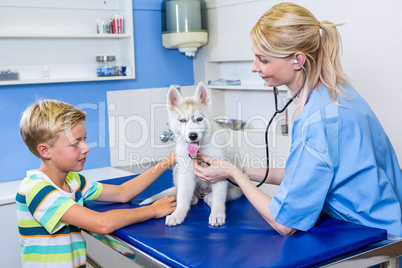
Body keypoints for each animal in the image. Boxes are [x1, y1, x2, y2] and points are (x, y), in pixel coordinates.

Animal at [140, 81, 243, 226]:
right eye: (182, 120)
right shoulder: (186, 173)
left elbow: (219, 198)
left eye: (199, 119)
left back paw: (209, 197)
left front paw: (217, 214)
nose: (192, 136)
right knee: (189, 196)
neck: (199, 151)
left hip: (238, 182)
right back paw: (193, 198)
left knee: (222, 195)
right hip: (177, 171)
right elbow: (183, 196)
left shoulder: (219, 173)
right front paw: (178, 214)